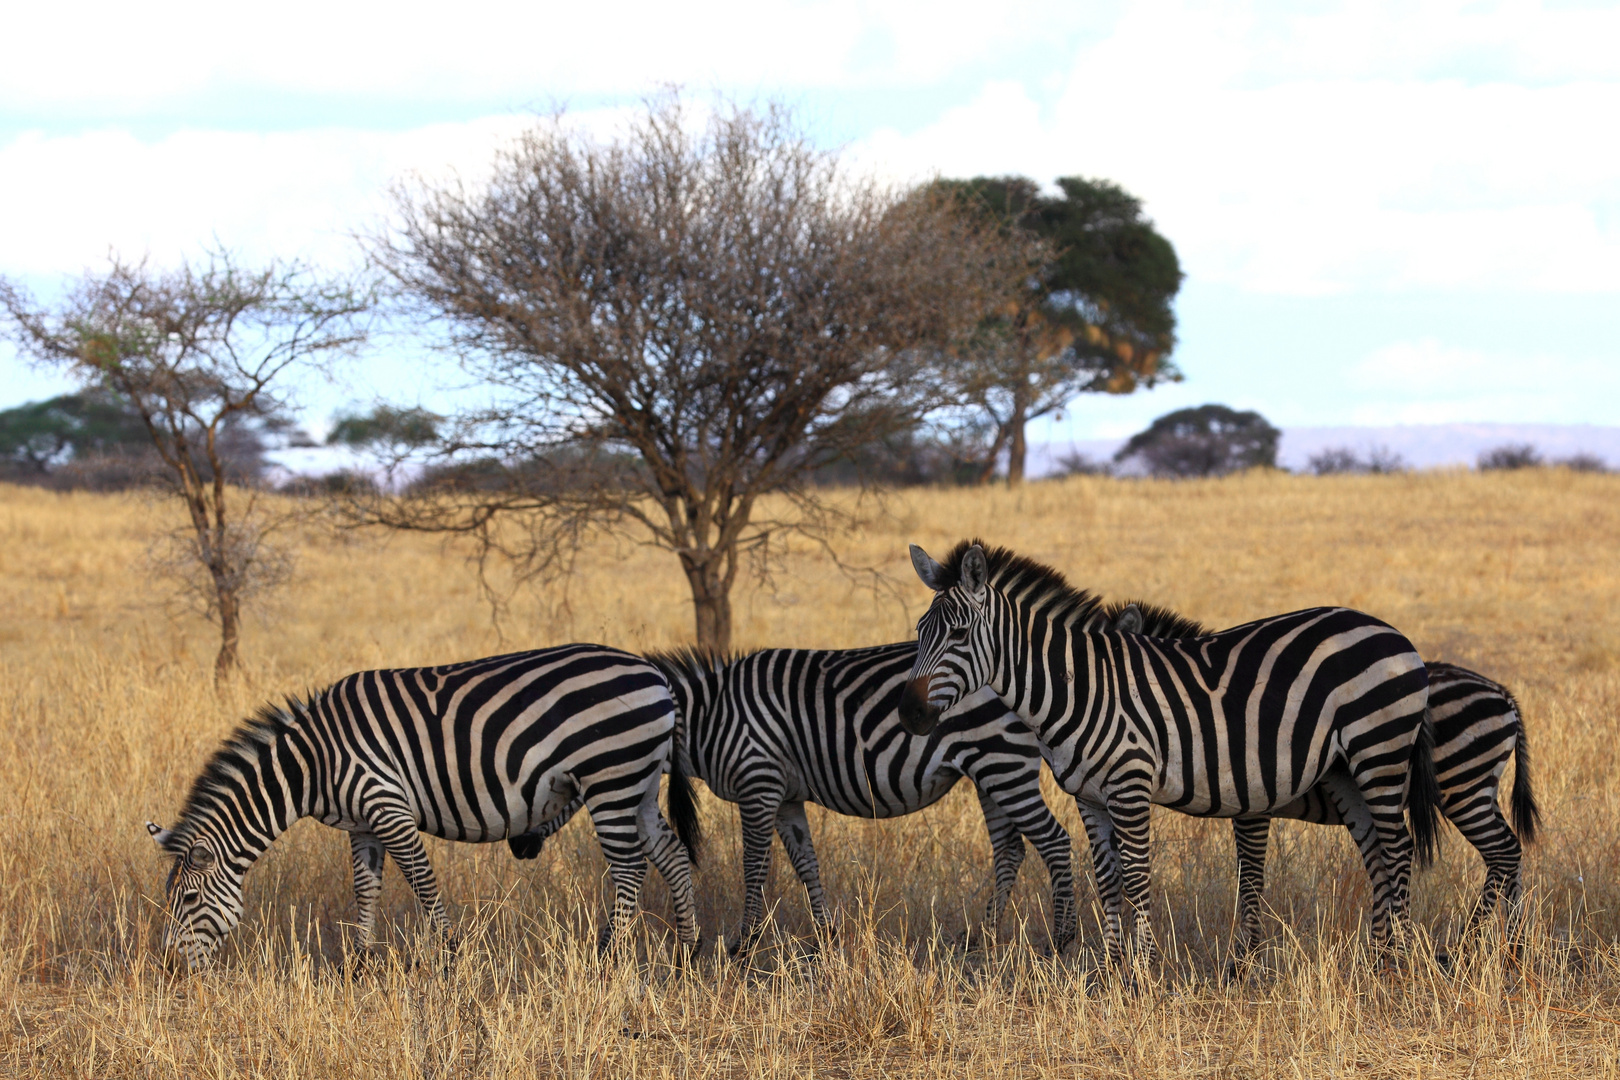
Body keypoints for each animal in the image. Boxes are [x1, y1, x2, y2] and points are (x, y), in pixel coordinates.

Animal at [150, 641, 703, 971]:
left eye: (190, 901)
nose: (172, 969)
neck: (315, 761)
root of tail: (654, 674)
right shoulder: (362, 824)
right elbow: (365, 889)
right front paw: (359, 964)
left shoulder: (387, 805)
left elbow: (423, 884)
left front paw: (452, 959)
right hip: (637, 784)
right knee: (673, 856)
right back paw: (688, 952)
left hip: (610, 776)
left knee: (630, 867)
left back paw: (608, 958)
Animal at [511, 647, 1082, 952]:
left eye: (559, 779)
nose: (519, 847)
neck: (709, 718)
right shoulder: (785, 797)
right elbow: (806, 862)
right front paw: (827, 936)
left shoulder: (758, 783)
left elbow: (755, 866)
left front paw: (742, 945)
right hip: (989, 771)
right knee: (1010, 849)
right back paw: (983, 937)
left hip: (1000, 763)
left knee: (1053, 841)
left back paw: (1059, 940)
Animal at [900, 540, 1445, 971]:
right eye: (919, 631)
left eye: (958, 635)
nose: (910, 712)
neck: (1079, 687)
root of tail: (1394, 633)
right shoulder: (1088, 797)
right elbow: (1107, 879)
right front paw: (1108, 971)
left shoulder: (1129, 785)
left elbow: (1138, 876)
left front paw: (1143, 973)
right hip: (1346, 770)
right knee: (1376, 852)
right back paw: (1377, 958)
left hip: (1379, 751)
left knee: (1397, 848)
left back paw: (1398, 960)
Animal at [1114, 605, 1542, 965]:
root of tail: (1501, 693)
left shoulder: (1251, 798)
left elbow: (1249, 874)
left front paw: (1243, 961)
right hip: (1479, 788)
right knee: (1508, 855)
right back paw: (1509, 950)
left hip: (1461, 786)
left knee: (1502, 852)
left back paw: (1471, 950)